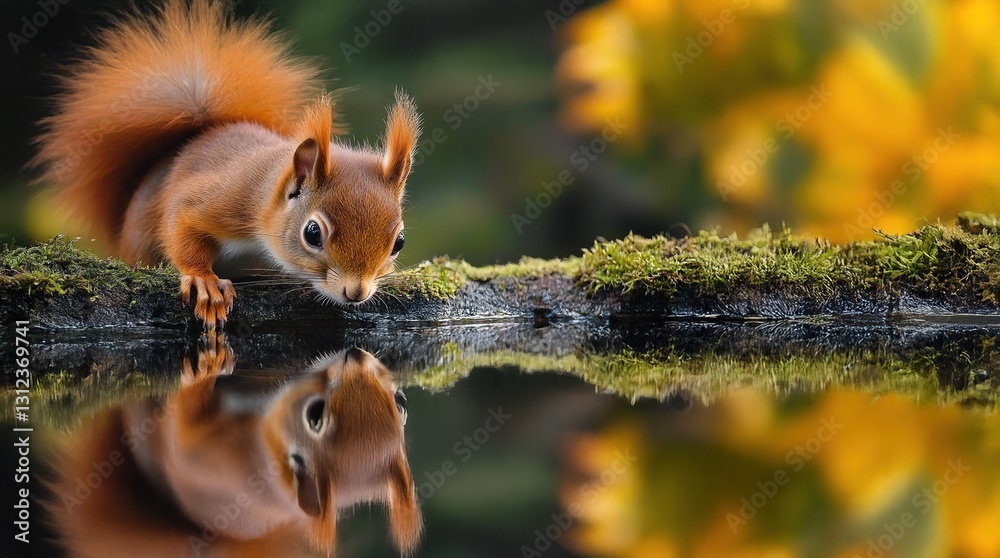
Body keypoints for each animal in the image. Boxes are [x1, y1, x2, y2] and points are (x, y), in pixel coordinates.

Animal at [32, 0, 421, 328]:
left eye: (400, 241)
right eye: (312, 233)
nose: (356, 293)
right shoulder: (227, 197)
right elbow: (180, 222)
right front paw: (203, 280)